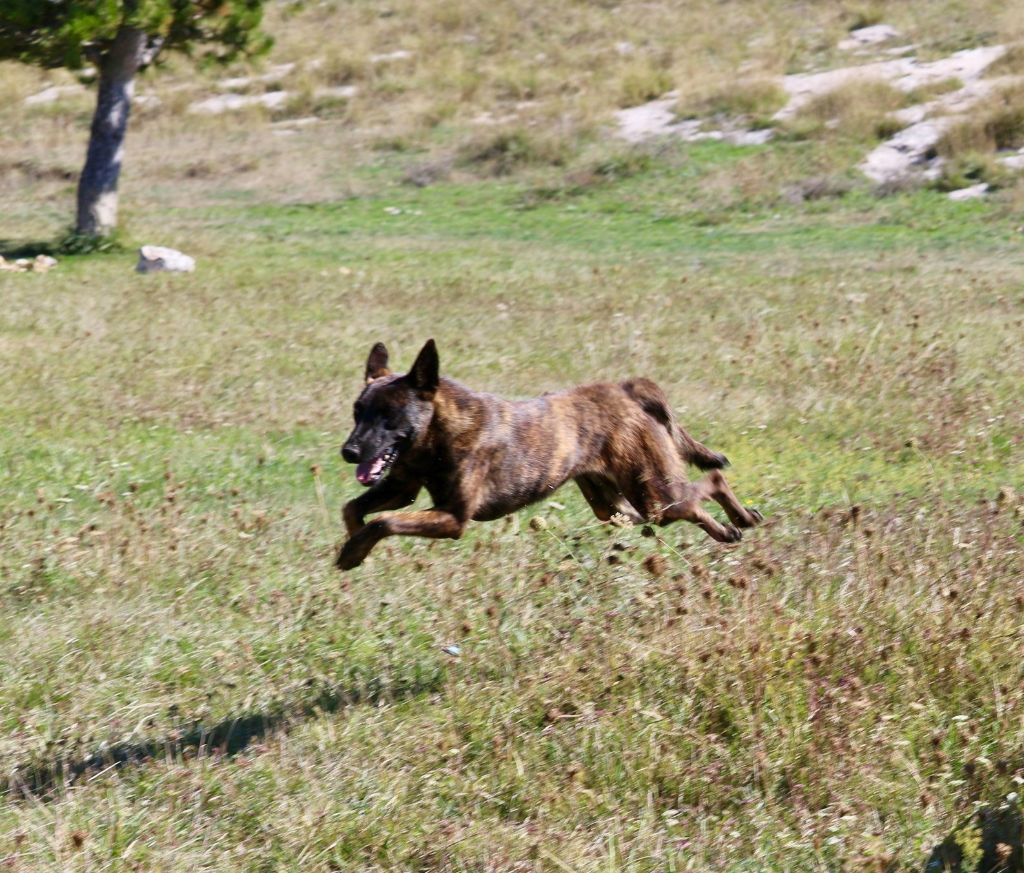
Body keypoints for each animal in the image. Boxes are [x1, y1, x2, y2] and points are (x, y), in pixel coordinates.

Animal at [335, 339, 761, 573]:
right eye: (357, 411)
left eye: (388, 415)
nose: (349, 451)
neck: (436, 432)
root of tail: (626, 390)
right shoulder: (403, 488)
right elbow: (354, 509)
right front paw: (355, 547)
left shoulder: (452, 518)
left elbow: (383, 521)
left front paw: (353, 551)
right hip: (618, 505)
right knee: (680, 504)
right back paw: (733, 525)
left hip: (654, 494)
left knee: (710, 481)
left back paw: (735, 522)